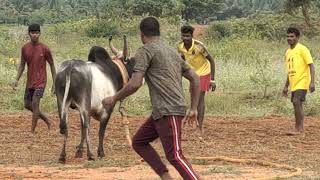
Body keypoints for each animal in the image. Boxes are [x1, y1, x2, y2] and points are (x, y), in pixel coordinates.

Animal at [55, 35, 135, 163]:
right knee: (86, 126)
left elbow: (83, 131)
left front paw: (79, 151)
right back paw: (91, 154)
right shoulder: (107, 109)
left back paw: (62, 156)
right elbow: (100, 131)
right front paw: (100, 152)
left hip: (62, 103)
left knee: (66, 126)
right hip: (83, 103)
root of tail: (70, 68)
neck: (112, 70)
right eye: (131, 62)